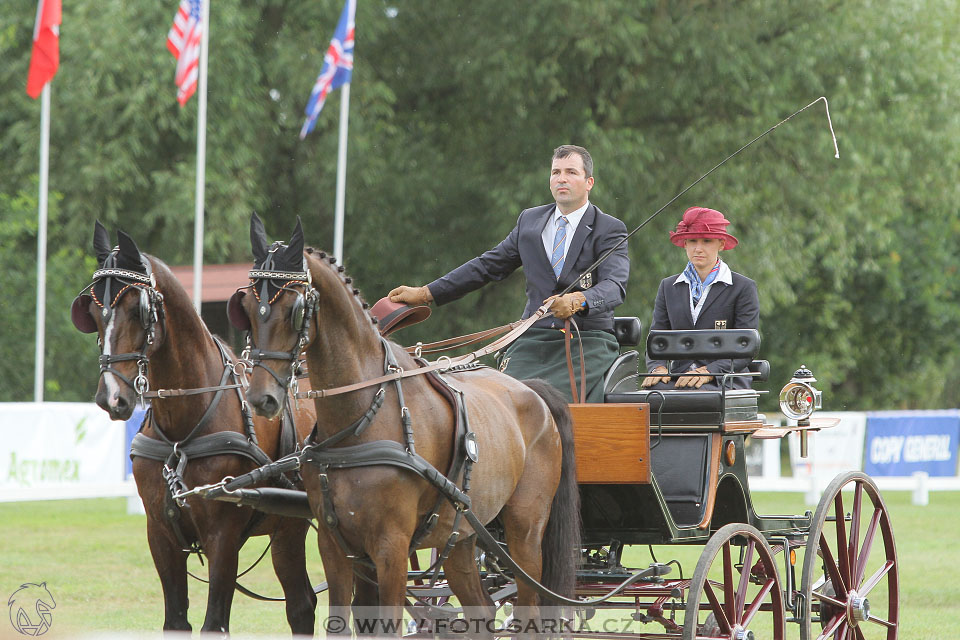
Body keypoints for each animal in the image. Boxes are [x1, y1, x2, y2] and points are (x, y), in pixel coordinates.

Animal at [73, 222, 318, 632]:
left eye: (138, 309)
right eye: (91, 309)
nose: (111, 397)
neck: (182, 433)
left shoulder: (223, 536)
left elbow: (213, 623)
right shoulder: (160, 535)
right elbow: (175, 621)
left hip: (292, 527)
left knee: (305, 605)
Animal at [229, 215, 580, 632]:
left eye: (294, 308)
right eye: (247, 306)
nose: (261, 398)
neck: (361, 421)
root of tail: (533, 390)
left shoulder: (391, 548)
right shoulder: (336, 546)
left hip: (525, 534)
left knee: (529, 608)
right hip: (461, 536)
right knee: (480, 609)